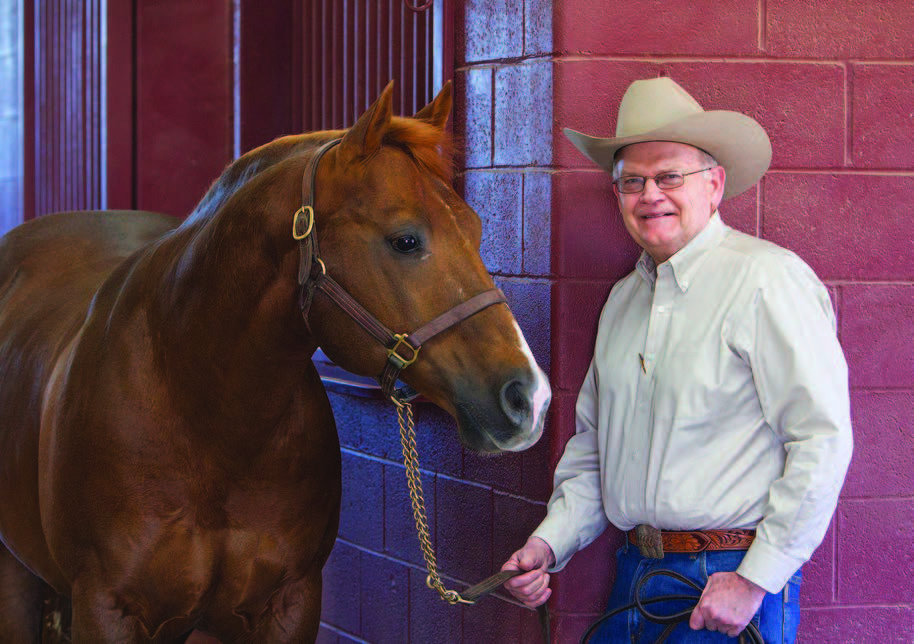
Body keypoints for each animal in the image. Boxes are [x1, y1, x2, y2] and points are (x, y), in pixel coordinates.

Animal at [0, 81, 551, 643]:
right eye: (405, 240)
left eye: (477, 228)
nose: (530, 397)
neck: (200, 412)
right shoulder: (105, 610)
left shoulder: (290, 604)